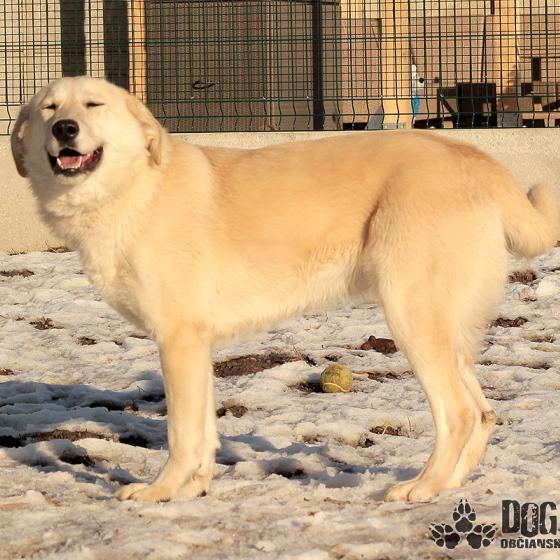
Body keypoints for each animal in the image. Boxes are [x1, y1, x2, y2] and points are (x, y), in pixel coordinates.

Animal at [11, 76, 559, 502]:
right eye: (50, 108)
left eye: (93, 105)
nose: (64, 129)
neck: (134, 190)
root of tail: (472, 154)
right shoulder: (195, 348)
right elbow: (203, 435)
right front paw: (193, 491)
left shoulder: (178, 340)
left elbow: (181, 435)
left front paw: (159, 493)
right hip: (446, 330)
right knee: (484, 413)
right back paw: (448, 487)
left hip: (412, 320)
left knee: (460, 414)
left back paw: (422, 488)